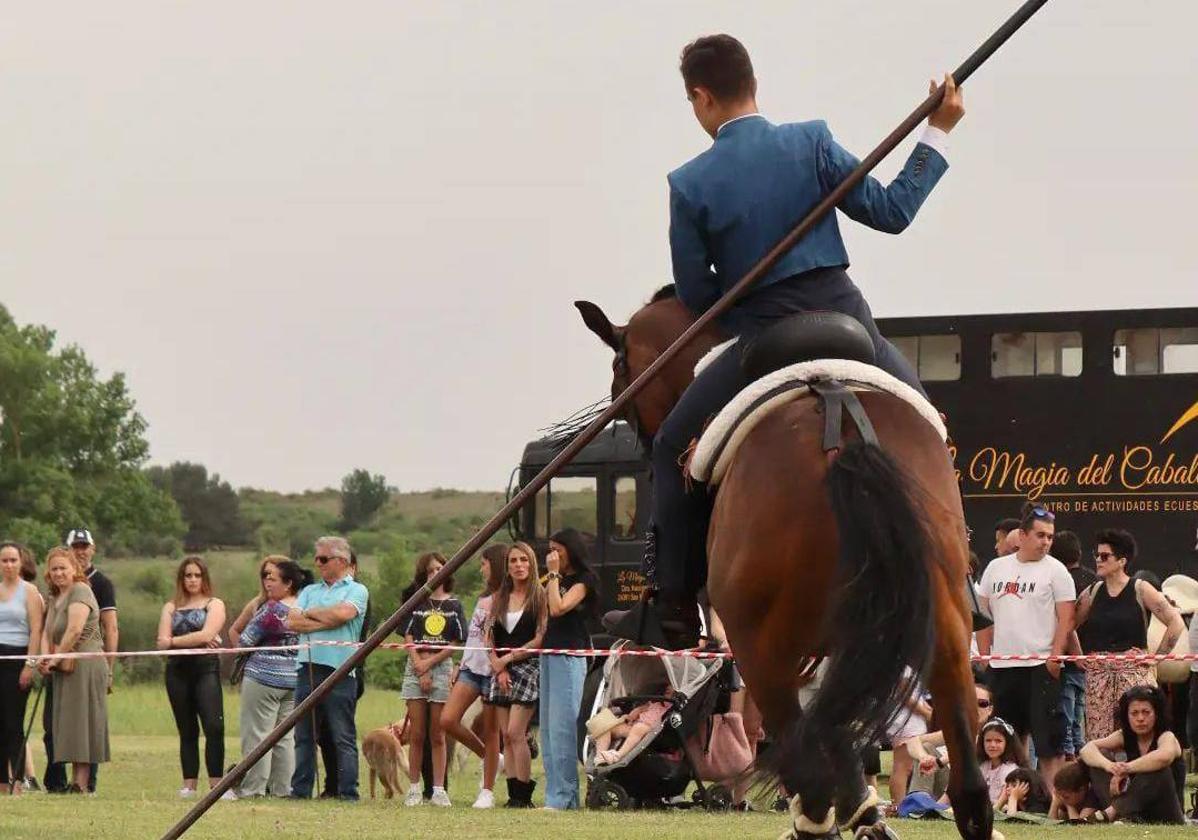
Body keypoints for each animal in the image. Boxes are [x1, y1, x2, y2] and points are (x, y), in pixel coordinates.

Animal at [575, 286, 987, 838]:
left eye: (621, 370)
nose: (638, 444)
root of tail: (843, 437)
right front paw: (867, 813)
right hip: (943, 637)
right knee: (969, 788)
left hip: (763, 654)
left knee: (809, 780)